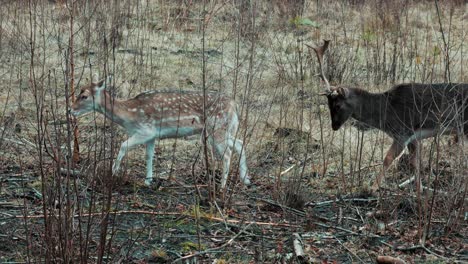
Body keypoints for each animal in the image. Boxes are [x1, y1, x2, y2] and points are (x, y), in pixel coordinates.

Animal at [70, 75, 250, 189]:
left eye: (84, 96)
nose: (70, 110)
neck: (129, 115)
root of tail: (234, 105)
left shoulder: (145, 130)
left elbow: (123, 145)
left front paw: (113, 173)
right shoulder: (152, 135)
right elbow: (149, 155)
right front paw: (148, 181)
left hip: (217, 127)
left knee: (227, 153)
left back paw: (222, 186)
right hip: (223, 129)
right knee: (240, 143)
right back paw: (245, 179)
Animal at [308, 39, 468, 192]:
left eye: (338, 105)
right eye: (328, 105)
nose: (334, 126)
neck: (385, 113)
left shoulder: (402, 132)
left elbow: (388, 158)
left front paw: (372, 188)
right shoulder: (413, 137)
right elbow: (415, 162)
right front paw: (419, 189)